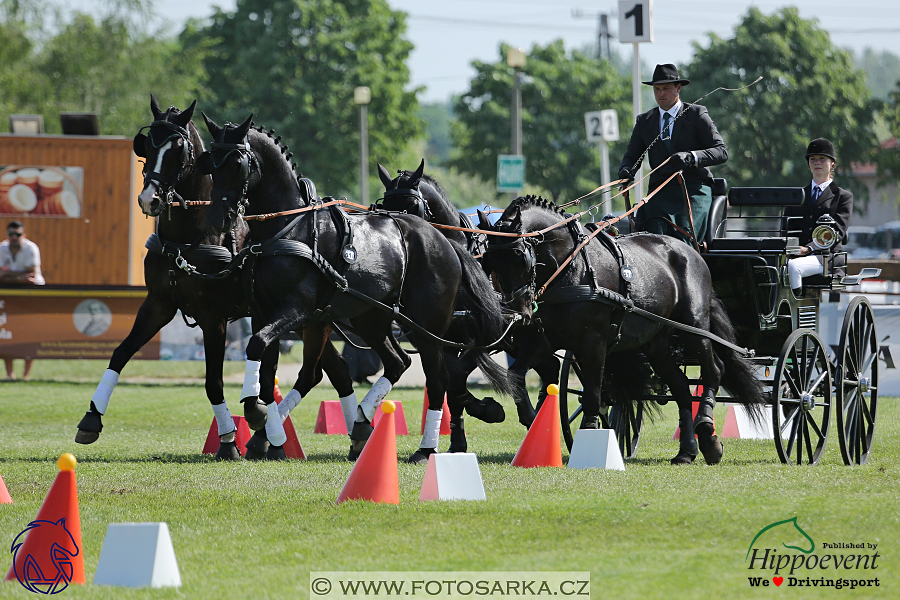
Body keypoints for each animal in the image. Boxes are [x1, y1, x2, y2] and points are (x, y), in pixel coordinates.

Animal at [199, 116, 506, 464]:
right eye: (209, 161)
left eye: (237, 163)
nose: (217, 219)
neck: (288, 230)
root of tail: (445, 241)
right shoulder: (266, 313)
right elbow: (265, 369)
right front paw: (269, 433)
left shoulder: (297, 309)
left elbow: (257, 347)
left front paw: (257, 415)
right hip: (370, 319)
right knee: (399, 362)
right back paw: (361, 425)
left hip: (425, 328)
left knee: (438, 380)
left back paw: (426, 448)